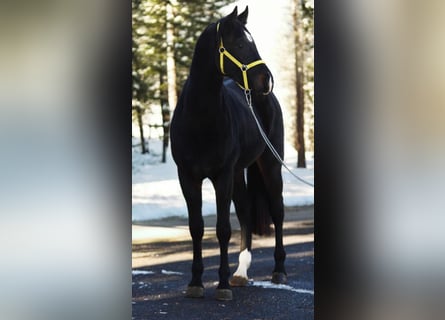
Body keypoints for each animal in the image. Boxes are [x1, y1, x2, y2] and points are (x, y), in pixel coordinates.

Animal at [170, 5, 284, 300]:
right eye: (240, 44)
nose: (267, 80)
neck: (200, 119)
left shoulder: (221, 176)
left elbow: (222, 229)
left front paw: (220, 285)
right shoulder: (188, 177)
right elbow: (197, 228)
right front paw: (196, 283)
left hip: (270, 164)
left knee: (278, 212)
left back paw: (279, 270)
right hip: (238, 173)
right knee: (245, 213)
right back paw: (240, 273)